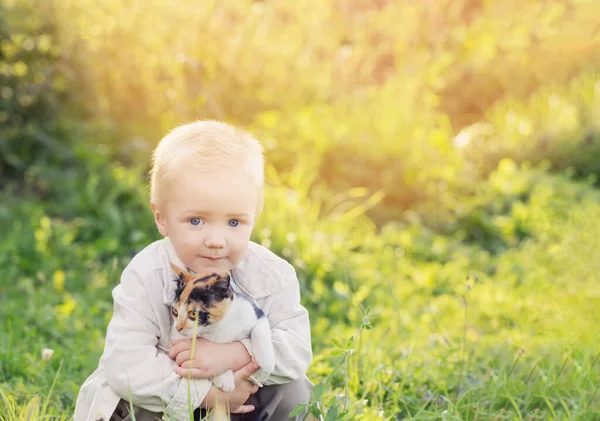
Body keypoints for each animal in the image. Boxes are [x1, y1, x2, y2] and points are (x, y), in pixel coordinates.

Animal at [168, 260, 274, 392]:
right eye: (175, 311)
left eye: (193, 313)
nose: (178, 327)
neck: (217, 326)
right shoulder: (176, 337)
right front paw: (224, 379)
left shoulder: (254, 311)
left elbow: (259, 330)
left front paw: (266, 366)